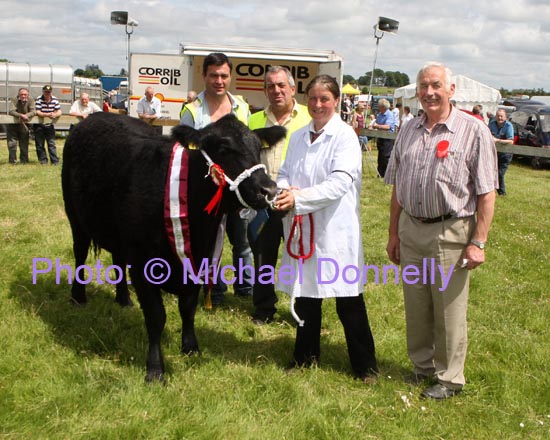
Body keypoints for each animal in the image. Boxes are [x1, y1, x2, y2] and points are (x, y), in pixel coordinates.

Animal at [63, 113, 288, 382]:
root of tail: (95, 116)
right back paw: (78, 297)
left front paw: (191, 348)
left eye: (257, 148)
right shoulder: (141, 262)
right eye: (223, 148)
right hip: (74, 215)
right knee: (79, 252)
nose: (269, 189)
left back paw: (124, 300)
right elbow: (156, 315)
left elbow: (188, 308)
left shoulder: (198, 260)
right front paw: (155, 369)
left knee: (117, 258)